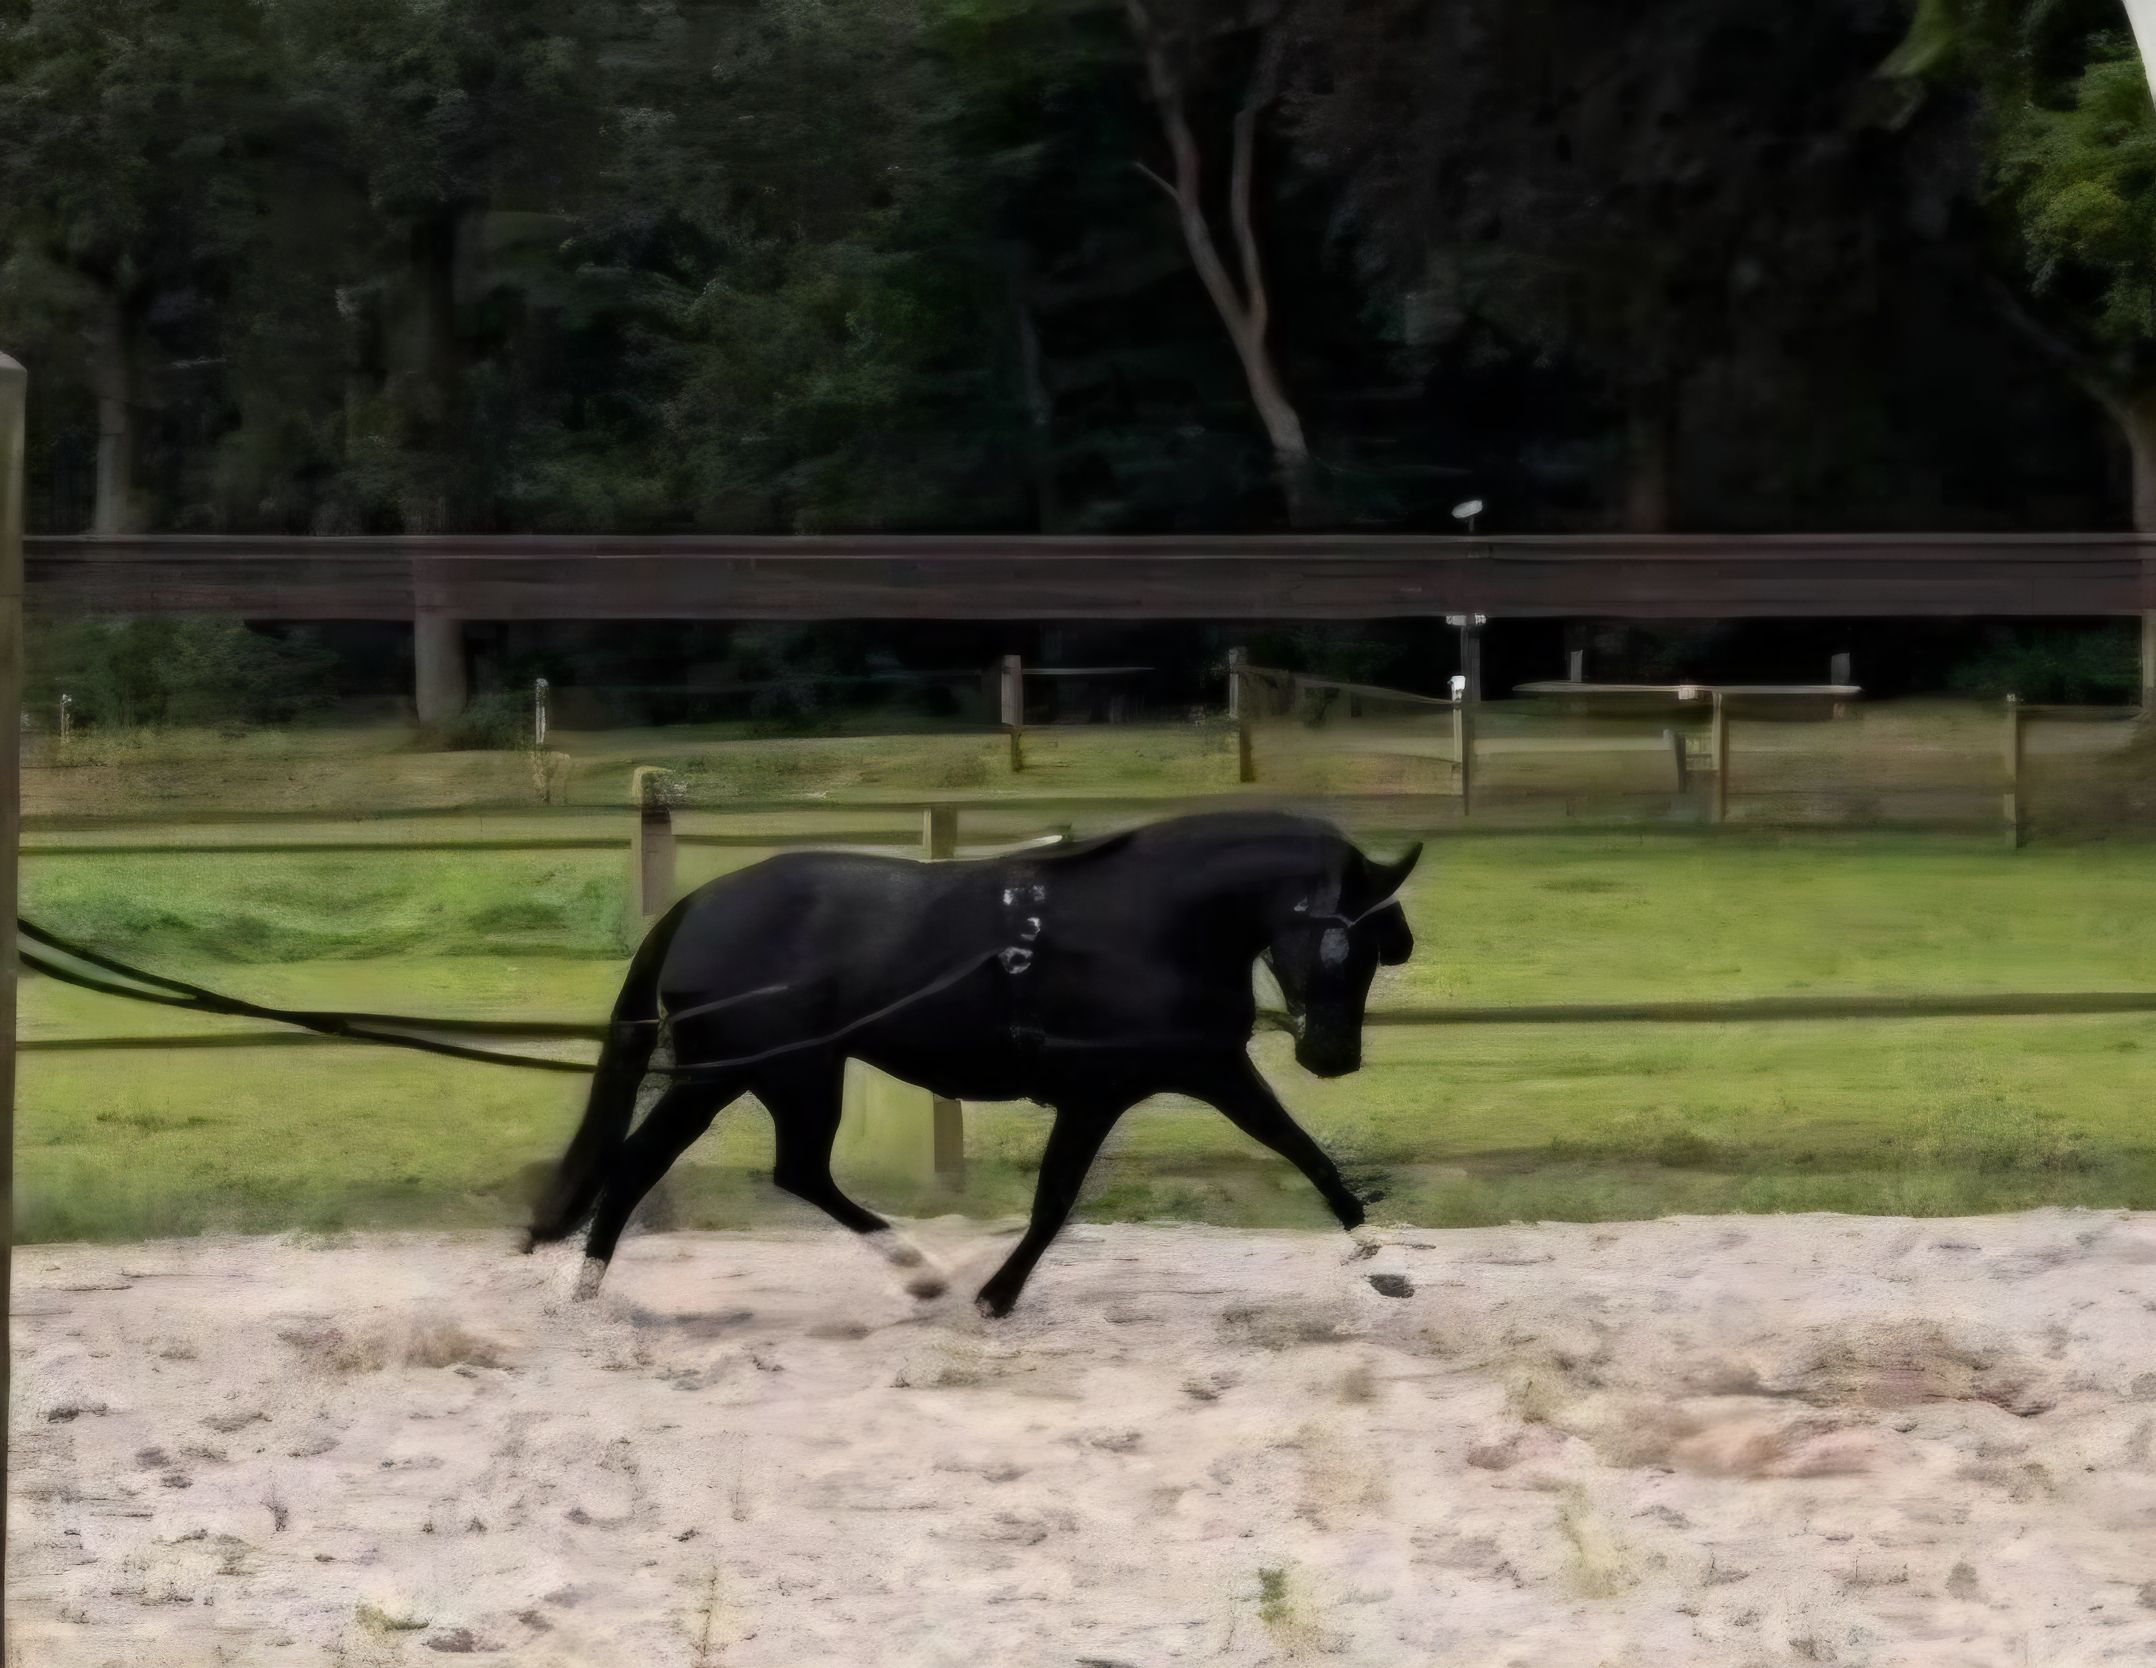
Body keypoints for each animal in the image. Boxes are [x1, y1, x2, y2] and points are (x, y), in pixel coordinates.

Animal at [523, 810, 1421, 1318]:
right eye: (1350, 944)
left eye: (1381, 947)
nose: (1333, 1056)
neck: (1152, 922)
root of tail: (699, 904)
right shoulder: (1097, 1094)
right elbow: (1054, 1203)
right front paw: (998, 1296)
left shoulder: (1209, 1067)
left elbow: (1298, 1146)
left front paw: (1373, 1250)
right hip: (741, 1072)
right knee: (656, 1162)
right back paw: (587, 1289)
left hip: (789, 1073)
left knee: (794, 1171)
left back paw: (916, 1273)